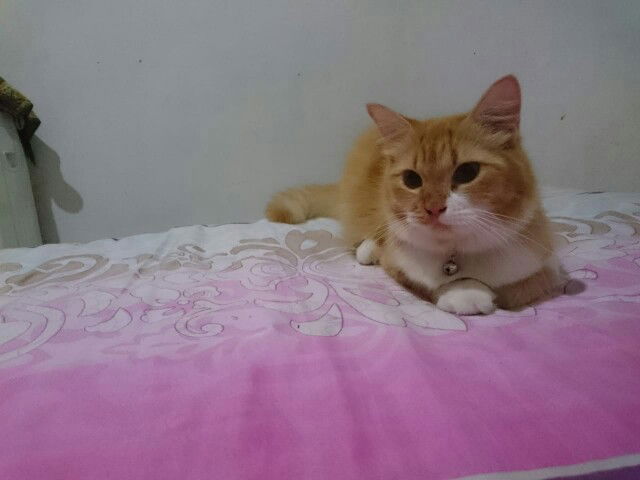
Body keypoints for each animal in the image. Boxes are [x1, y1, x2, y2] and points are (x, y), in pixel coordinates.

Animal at [266, 75, 563, 314]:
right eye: (412, 179)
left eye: (467, 172)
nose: (433, 208)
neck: (456, 256)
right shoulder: (400, 264)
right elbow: (428, 283)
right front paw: (465, 292)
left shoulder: (545, 266)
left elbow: (523, 287)